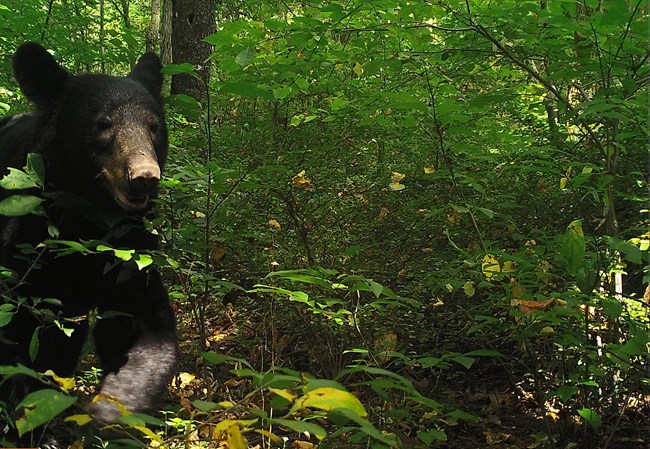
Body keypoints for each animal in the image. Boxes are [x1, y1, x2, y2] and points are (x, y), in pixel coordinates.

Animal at [0, 43, 177, 428]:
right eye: (103, 124)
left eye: (154, 126)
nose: (144, 177)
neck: (90, 220)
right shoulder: (26, 238)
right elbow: (20, 331)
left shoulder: (131, 251)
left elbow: (143, 325)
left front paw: (110, 411)